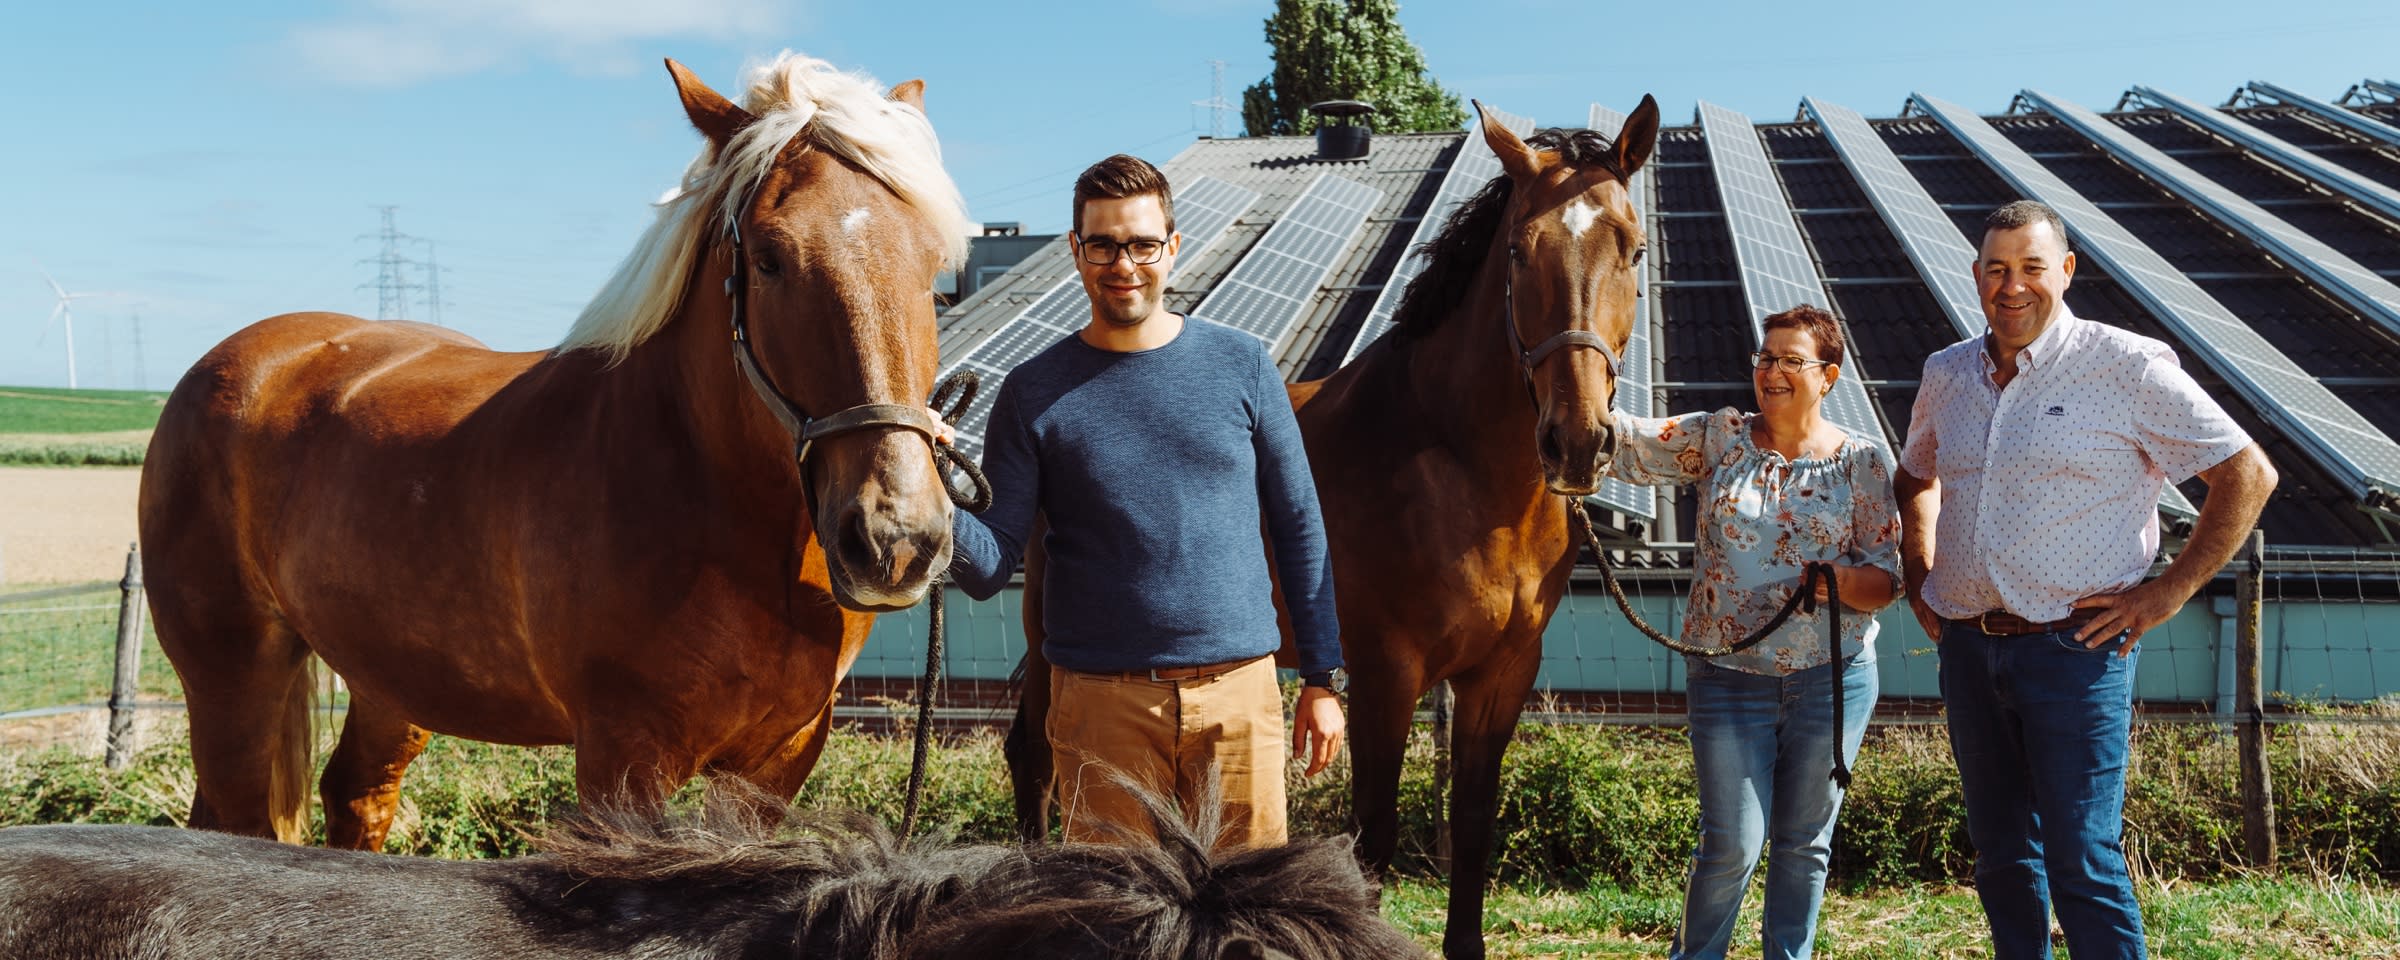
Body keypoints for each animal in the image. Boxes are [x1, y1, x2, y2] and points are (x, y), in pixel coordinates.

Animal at [131, 52, 969, 849]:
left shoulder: (779, 759)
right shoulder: (623, 757)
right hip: (233, 677)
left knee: (356, 796)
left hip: (390, 679)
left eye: (936, 269)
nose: (895, 539)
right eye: (768, 258)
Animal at [1003, 99, 1660, 960]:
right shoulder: (1385, 672)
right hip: (1055, 640)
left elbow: (1472, 826)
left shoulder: (1503, 673)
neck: (1457, 464)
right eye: (1520, 251)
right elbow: (1372, 840)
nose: (1577, 440)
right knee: (1037, 760)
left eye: (1633, 249)